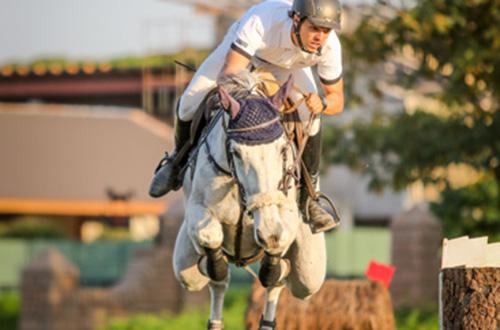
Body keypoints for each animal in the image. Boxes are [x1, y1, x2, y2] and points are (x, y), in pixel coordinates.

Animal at [173, 71, 328, 328]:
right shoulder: (197, 208)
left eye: (282, 149)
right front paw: (216, 264)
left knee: (284, 284)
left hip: (309, 275)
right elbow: (210, 237)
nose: (267, 230)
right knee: (212, 281)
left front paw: (273, 259)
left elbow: (278, 248)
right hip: (185, 270)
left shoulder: (286, 214)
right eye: (236, 152)